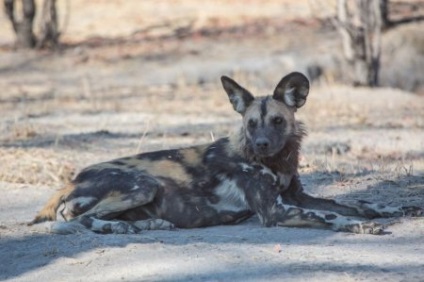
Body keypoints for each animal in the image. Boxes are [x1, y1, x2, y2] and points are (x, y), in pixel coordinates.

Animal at [31, 72, 422, 234]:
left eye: (277, 121)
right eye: (251, 124)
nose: (262, 144)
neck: (274, 163)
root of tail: (70, 181)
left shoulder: (297, 195)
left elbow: (351, 202)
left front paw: (388, 209)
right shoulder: (275, 211)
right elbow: (332, 215)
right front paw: (359, 226)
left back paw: (149, 223)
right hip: (142, 184)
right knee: (78, 219)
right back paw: (120, 227)